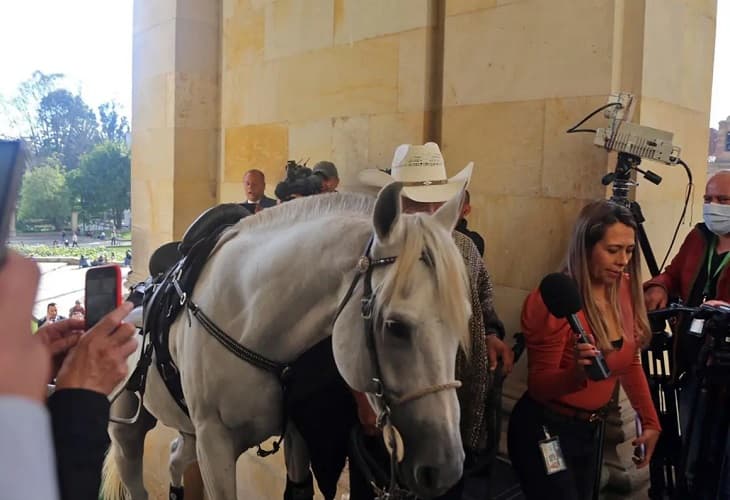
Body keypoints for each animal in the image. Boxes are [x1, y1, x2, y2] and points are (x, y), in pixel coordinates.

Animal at [101, 185, 466, 500]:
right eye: (394, 326)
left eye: (462, 322)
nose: (446, 470)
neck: (248, 317)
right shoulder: (214, 444)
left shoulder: (295, 433)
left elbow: (298, 489)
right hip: (130, 428)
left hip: (187, 429)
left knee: (176, 456)